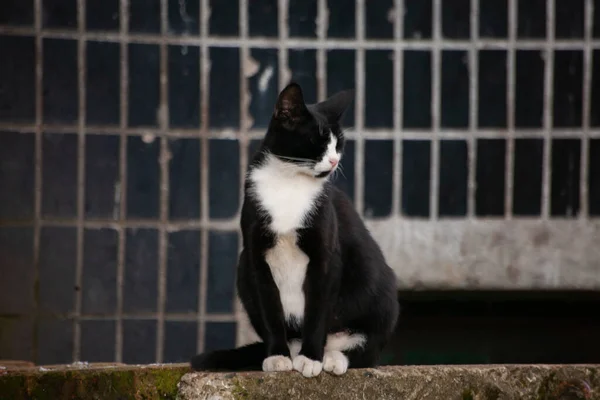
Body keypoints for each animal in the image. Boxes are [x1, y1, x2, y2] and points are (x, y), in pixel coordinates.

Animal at [191, 82, 398, 378]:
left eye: (339, 144)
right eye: (319, 141)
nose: (334, 161)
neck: (289, 181)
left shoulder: (326, 255)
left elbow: (318, 311)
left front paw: (311, 358)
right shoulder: (256, 256)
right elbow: (270, 310)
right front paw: (277, 355)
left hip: (382, 295)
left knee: (366, 351)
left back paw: (332, 358)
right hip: (242, 270)